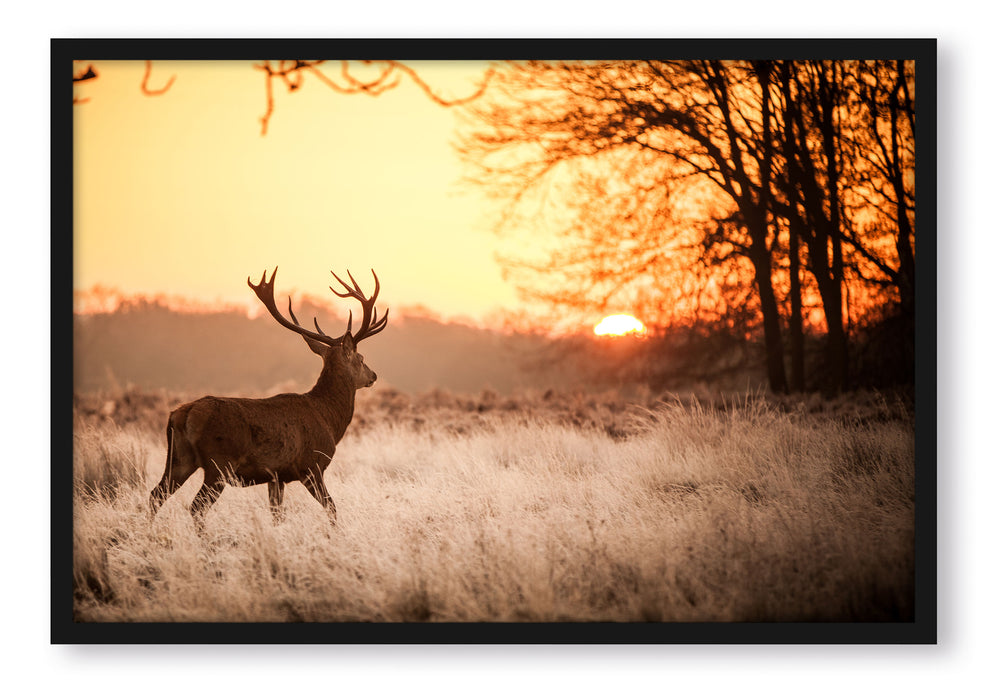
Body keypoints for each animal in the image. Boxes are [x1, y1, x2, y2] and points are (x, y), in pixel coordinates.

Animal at [149, 266, 390, 528]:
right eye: (361, 358)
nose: (374, 375)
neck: (328, 418)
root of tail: (182, 415)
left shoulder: (276, 476)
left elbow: (277, 515)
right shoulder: (311, 466)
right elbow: (332, 509)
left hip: (179, 459)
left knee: (156, 495)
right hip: (219, 463)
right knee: (196, 506)